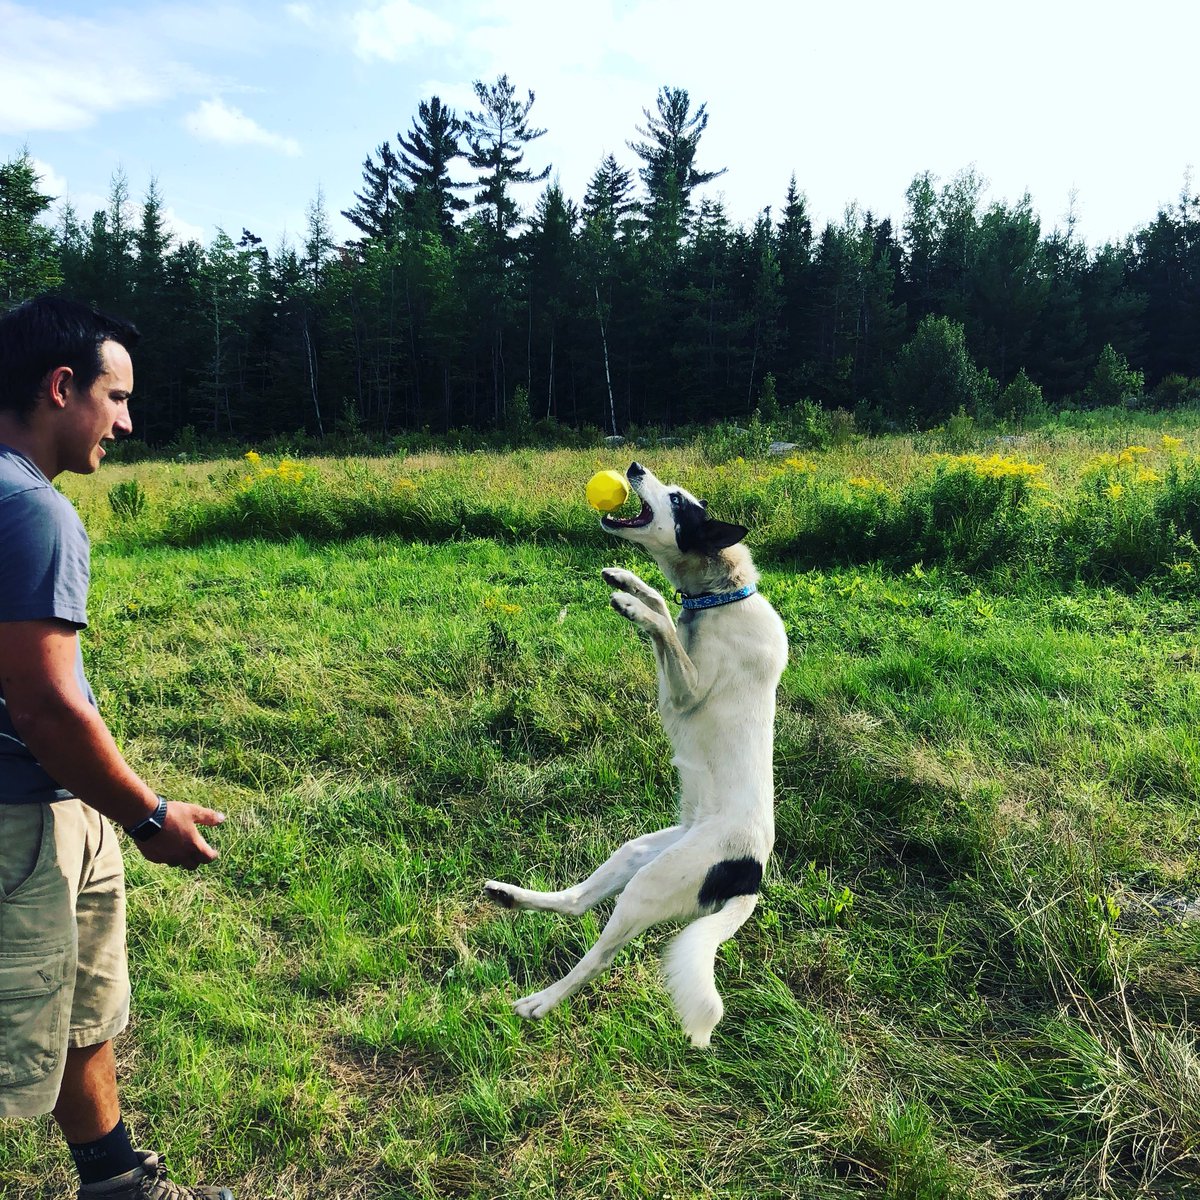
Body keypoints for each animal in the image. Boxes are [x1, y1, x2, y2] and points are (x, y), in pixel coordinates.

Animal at [482, 463, 792, 1046]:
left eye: (678, 501)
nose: (633, 468)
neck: (721, 596)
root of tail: (752, 874)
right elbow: (666, 608)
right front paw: (629, 582)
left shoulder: (687, 691)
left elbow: (665, 627)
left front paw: (632, 605)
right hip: (638, 852)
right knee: (578, 902)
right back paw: (512, 897)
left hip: (655, 883)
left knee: (597, 958)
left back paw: (541, 1001)